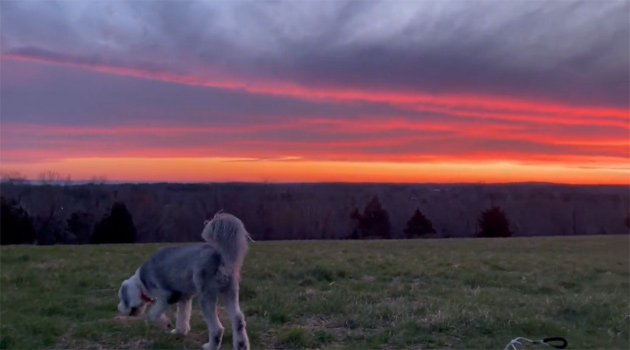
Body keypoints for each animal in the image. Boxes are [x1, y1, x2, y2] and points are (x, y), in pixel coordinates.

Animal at [117, 212, 251, 350]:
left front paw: (166, 324)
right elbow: (182, 316)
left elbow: (153, 315)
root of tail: (220, 256)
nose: (119, 309)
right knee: (238, 320)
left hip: (207, 297)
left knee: (217, 329)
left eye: (122, 298)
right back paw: (242, 345)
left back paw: (210, 346)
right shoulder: (184, 298)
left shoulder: (168, 296)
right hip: (230, 292)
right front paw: (179, 332)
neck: (141, 282)